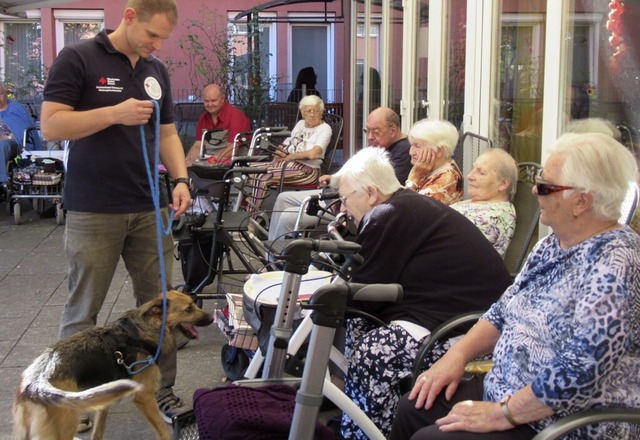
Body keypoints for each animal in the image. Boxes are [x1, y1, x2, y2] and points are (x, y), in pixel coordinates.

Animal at [13, 290, 212, 438]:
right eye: (188, 309)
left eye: (193, 304)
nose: (212, 318)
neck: (143, 330)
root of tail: (36, 381)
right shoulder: (144, 396)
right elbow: (163, 432)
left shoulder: (104, 397)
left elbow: (98, 433)